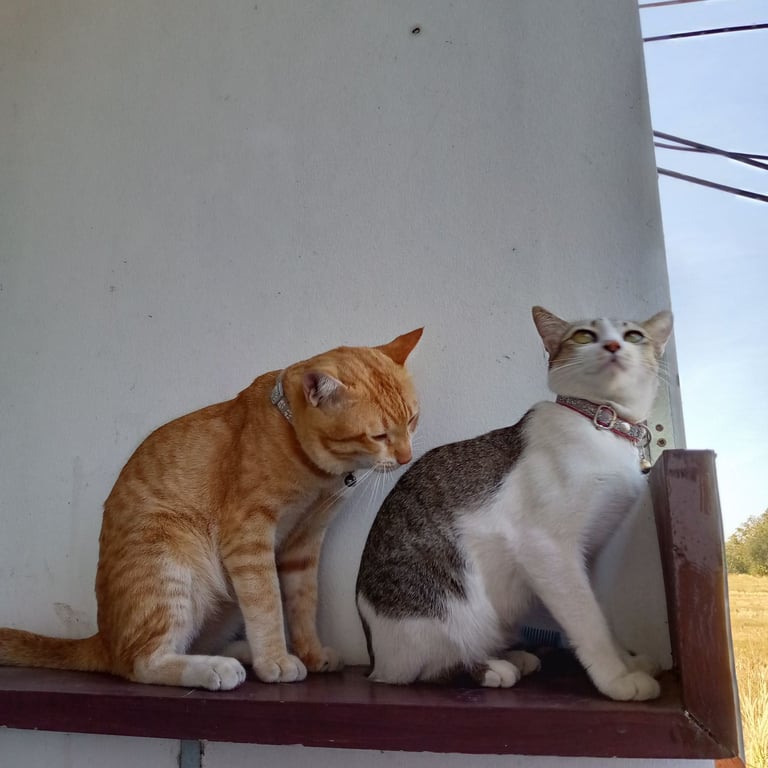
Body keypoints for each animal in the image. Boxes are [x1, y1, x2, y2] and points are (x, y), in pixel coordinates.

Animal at [0, 329, 422, 690]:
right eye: (378, 435)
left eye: (412, 420)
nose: (406, 457)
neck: (315, 472)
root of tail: (104, 638)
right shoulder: (249, 539)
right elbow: (268, 604)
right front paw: (276, 660)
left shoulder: (304, 544)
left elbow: (304, 604)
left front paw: (310, 653)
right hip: (169, 562)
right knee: (142, 663)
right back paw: (218, 668)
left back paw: (241, 653)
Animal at [356, 307, 672, 701]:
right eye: (584, 335)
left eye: (634, 336)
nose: (613, 346)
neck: (600, 427)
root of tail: (373, 657)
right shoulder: (546, 548)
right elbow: (589, 620)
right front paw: (616, 677)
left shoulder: (586, 553)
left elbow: (600, 612)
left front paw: (628, 661)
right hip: (448, 615)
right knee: (425, 670)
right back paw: (490, 668)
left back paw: (515, 656)